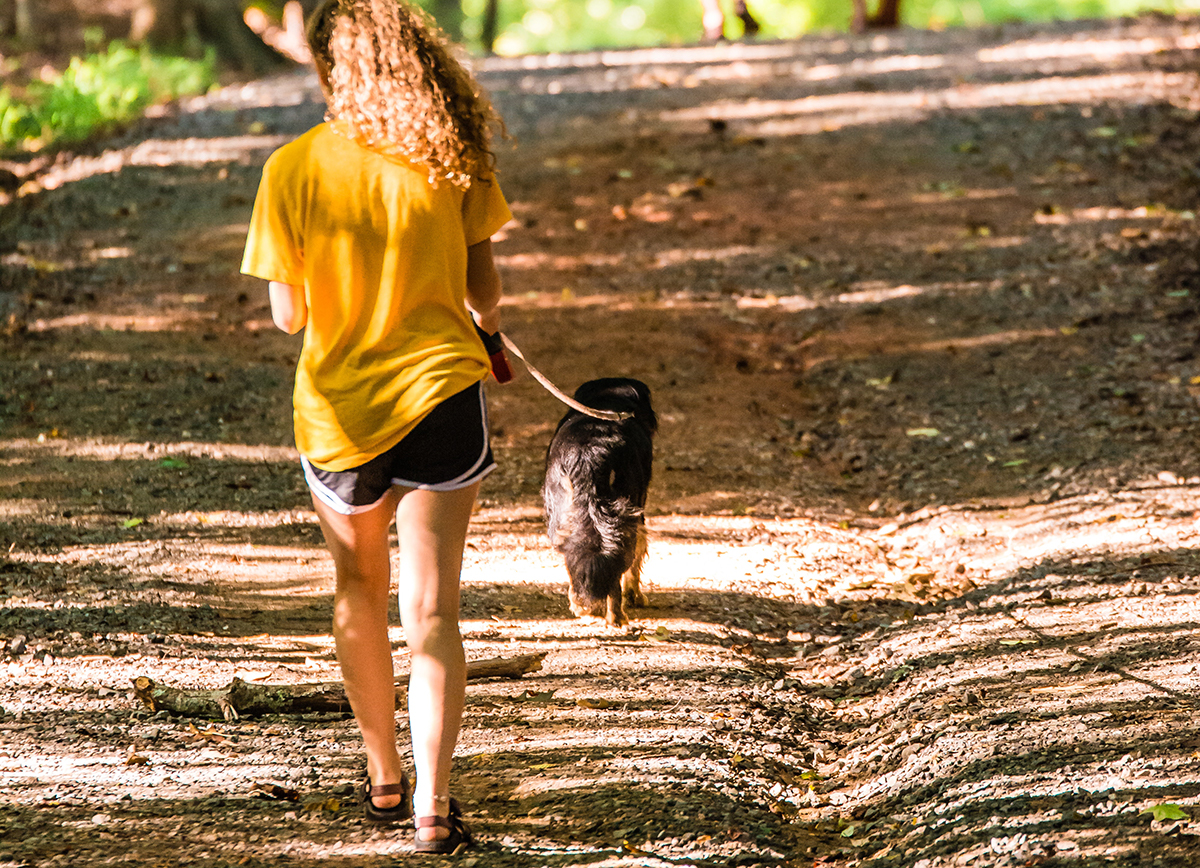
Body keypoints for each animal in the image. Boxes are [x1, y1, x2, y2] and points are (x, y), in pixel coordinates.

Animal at [542, 379, 657, 624]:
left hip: (561, 517)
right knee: (616, 563)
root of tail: (589, 453)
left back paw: (583, 606)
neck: (609, 400)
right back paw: (615, 617)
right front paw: (634, 595)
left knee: (576, 556)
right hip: (625, 518)